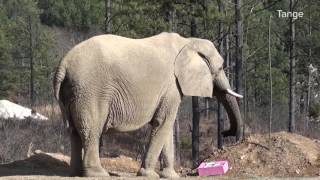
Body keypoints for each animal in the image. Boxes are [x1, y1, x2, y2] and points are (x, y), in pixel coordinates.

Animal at [53, 32, 242, 177]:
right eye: (220, 68)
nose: (225, 133)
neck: (188, 41)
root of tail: (63, 64)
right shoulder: (171, 86)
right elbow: (163, 122)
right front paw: (149, 175)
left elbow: (166, 126)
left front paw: (170, 176)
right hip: (91, 90)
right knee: (91, 130)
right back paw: (98, 174)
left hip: (73, 91)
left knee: (75, 131)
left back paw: (76, 173)